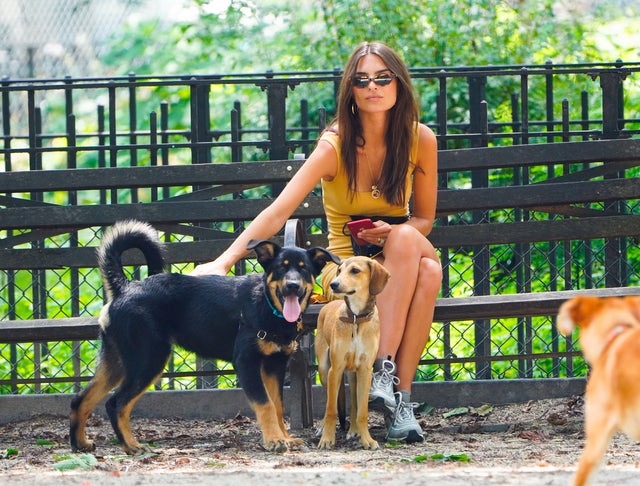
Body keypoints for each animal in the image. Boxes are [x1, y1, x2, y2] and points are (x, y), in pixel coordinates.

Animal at [70, 220, 340, 456]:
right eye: (281, 268)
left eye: (303, 269)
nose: (293, 285)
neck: (266, 305)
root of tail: (124, 288)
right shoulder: (246, 363)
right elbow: (265, 405)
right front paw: (274, 441)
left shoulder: (275, 365)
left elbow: (277, 405)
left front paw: (284, 437)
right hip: (149, 359)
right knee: (116, 404)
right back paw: (132, 446)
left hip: (118, 362)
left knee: (81, 400)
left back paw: (80, 444)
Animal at [316, 256, 390, 450]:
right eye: (339, 270)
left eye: (355, 271)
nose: (334, 284)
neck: (356, 319)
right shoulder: (335, 369)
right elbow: (331, 409)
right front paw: (327, 439)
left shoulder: (365, 370)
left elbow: (362, 411)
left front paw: (367, 440)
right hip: (324, 370)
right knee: (328, 400)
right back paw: (323, 428)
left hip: (353, 374)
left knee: (355, 403)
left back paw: (354, 431)